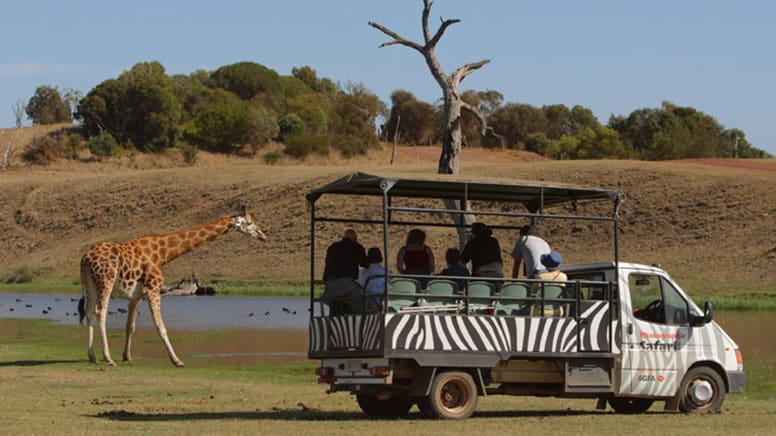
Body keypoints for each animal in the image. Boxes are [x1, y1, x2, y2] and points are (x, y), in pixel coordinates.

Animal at [79, 206, 266, 366]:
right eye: (249, 222)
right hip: (106, 281)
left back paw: (92, 356)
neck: (163, 254)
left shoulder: (135, 295)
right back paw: (108, 358)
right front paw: (177, 360)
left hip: (90, 284)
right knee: (100, 312)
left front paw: (127, 356)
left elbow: (130, 326)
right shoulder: (153, 288)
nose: (263, 235)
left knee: (88, 312)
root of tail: (85, 258)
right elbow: (161, 327)